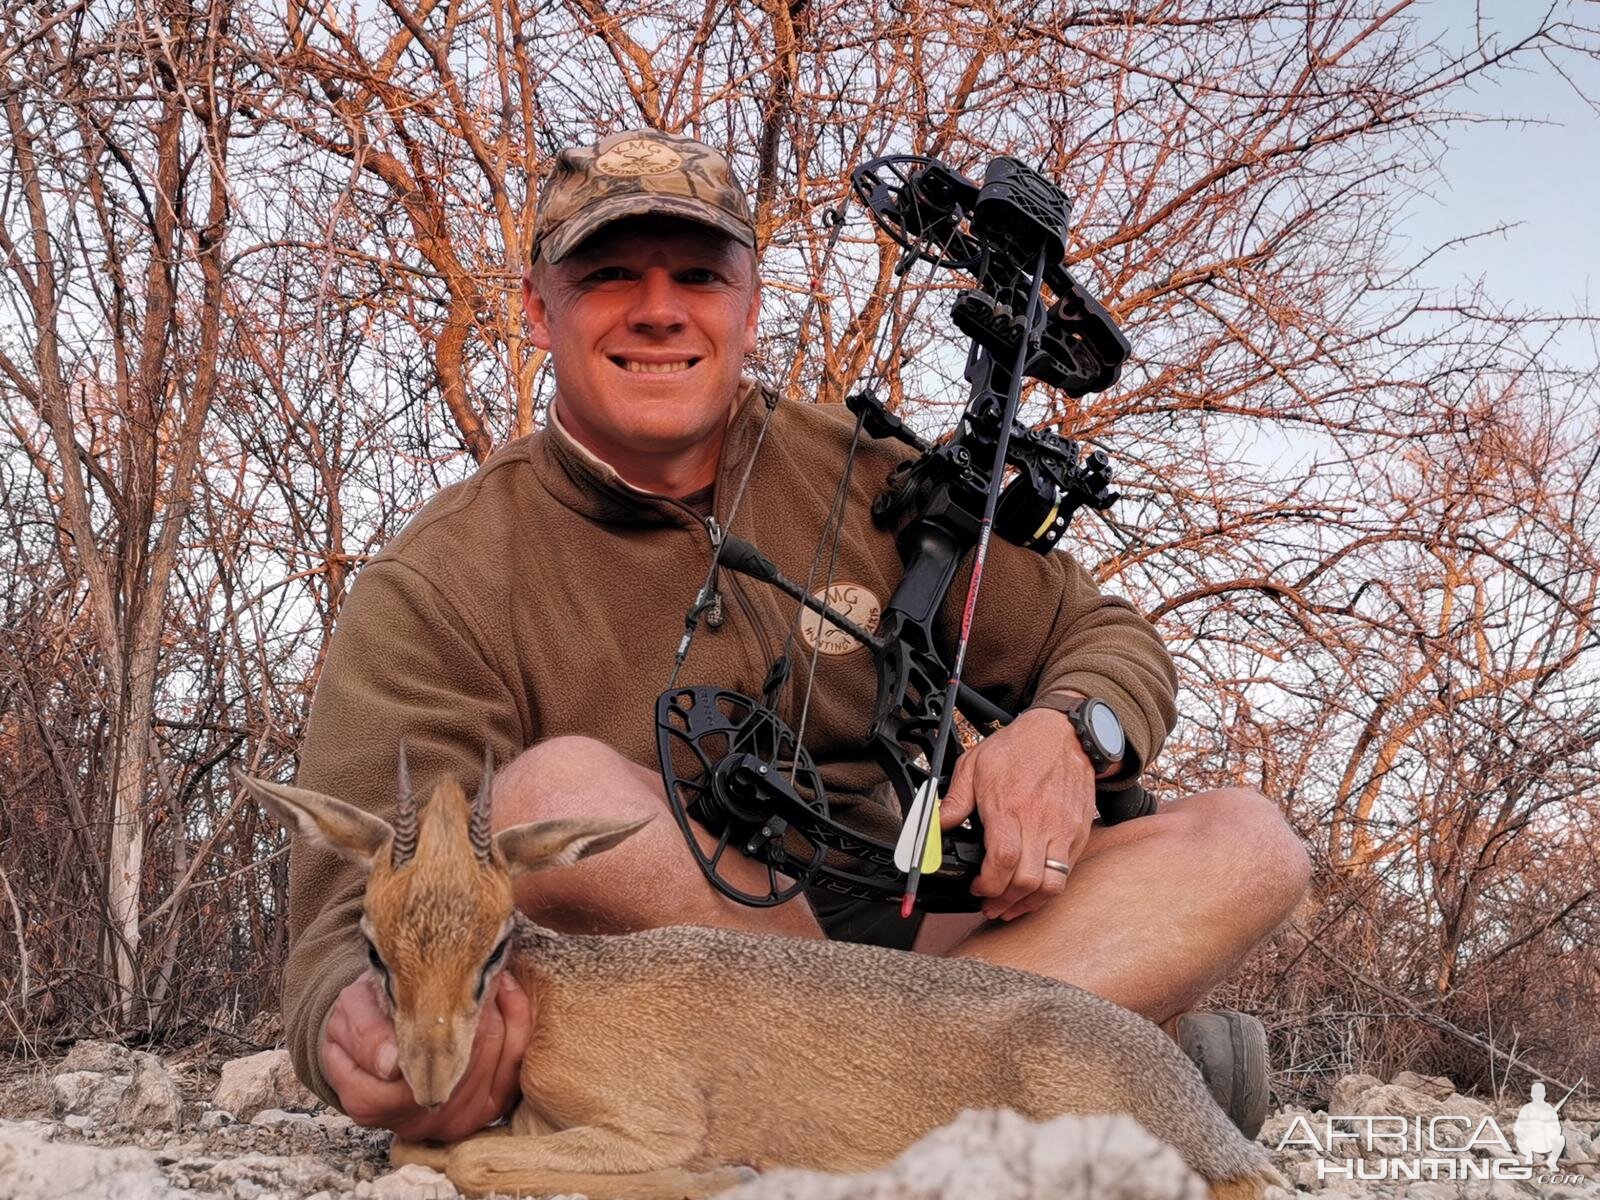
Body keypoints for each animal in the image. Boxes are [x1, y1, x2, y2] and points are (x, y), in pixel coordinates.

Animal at [240, 755, 1286, 1196]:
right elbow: (423, 1149)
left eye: (496, 946)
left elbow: (469, 1160)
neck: (559, 998)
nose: (429, 1076)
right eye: (374, 948)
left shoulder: (648, 1120)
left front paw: (724, 1171)